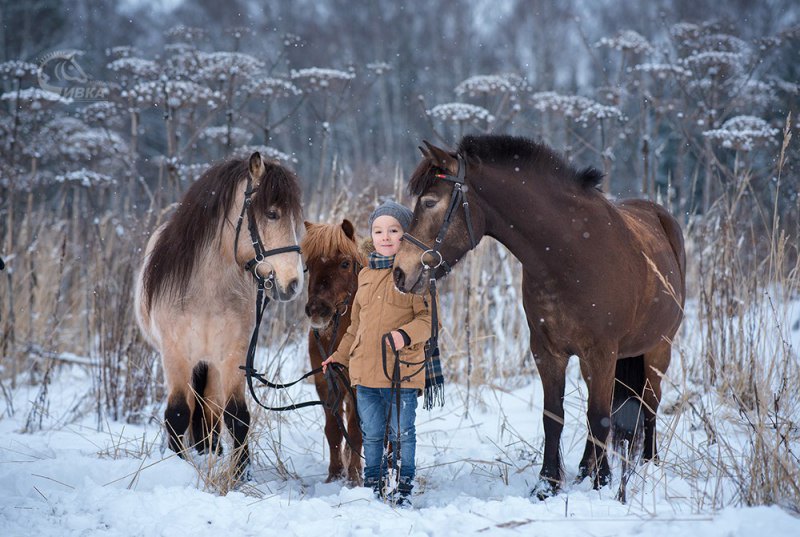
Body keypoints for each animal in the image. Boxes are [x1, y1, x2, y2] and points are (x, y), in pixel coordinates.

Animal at [134, 152, 304, 478]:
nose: (293, 284)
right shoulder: (175, 355)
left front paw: (240, 472)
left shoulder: (232, 355)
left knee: (210, 412)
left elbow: (236, 415)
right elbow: (177, 413)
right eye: (272, 214)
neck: (206, 290)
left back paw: (210, 451)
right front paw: (179, 466)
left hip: (210, 365)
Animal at [390, 135, 684, 498]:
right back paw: (586, 469)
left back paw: (647, 464)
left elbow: (600, 416)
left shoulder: (602, 353)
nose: (400, 272)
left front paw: (601, 483)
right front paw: (548, 484)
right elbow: (553, 417)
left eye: (430, 202)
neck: (570, 253)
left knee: (649, 406)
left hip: (658, 350)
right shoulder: (548, 353)